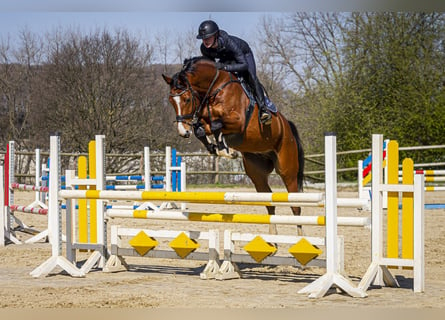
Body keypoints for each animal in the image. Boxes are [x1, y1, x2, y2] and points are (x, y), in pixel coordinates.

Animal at [161, 55, 304, 235]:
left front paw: (225, 150)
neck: (215, 88)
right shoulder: (204, 119)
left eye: (186, 99)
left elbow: (216, 125)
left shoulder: (238, 121)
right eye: (171, 101)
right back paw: (273, 239)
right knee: (269, 202)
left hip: (287, 170)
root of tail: (288, 127)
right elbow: (202, 129)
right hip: (256, 173)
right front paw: (219, 149)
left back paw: (300, 237)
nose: (182, 132)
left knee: (295, 206)